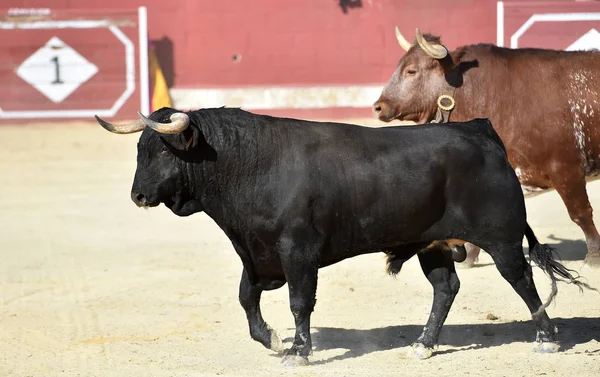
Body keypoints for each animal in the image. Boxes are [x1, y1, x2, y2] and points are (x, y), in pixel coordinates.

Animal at [96, 108, 588, 364]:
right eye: (139, 149)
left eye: (163, 151)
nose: (138, 195)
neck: (250, 164)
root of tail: (481, 130)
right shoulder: (254, 251)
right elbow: (246, 297)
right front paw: (271, 339)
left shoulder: (296, 250)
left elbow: (299, 301)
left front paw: (298, 351)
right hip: (432, 245)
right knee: (445, 287)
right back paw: (423, 345)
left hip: (500, 238)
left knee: (521, 279)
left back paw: (547, 339)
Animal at [376, 27, 600, 266]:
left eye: (411, 71)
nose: (378, 106)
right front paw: (469, 257)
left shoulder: (566, 168)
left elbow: (580, 213)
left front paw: (593, 258)